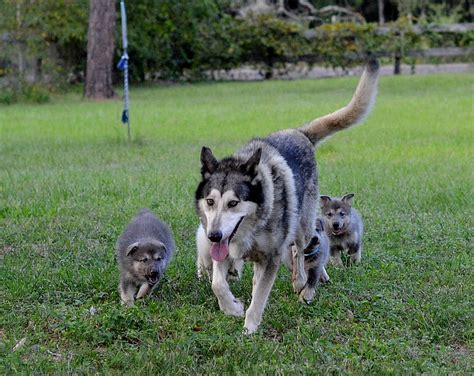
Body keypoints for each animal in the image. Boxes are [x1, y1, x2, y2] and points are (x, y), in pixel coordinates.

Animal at [195, 57, 378, 334]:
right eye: (210, 201)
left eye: (234, 203)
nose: (213, 235)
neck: (253, 225)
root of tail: (300, 132)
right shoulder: (225, 250)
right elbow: (218, 283)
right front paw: (232, 307)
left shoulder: (270, 257)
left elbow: (261, 296)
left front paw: (250, 327)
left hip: (304, 224)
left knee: (300, 250)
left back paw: (302, 279)